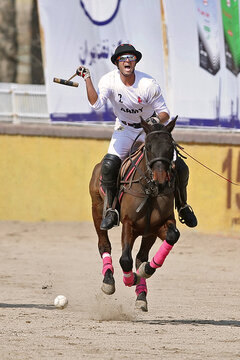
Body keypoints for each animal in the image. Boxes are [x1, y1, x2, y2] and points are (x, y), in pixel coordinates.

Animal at [90, 116, 180, 310]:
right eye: (148, 147)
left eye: (170, 147)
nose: (161, 181)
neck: (149, 190)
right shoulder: (128, 223)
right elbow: (125, 259)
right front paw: (129, 279)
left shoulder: (158, 225)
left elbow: (172, 236)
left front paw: (145, 271)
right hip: (97, 210)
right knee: (104, 245)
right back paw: (109, 280)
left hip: (146, 233)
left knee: (140, 256)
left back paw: (141, 294)